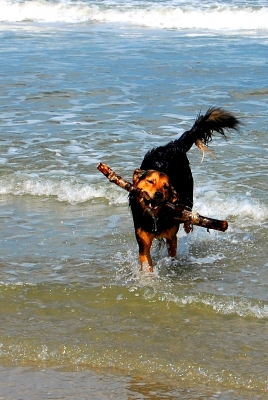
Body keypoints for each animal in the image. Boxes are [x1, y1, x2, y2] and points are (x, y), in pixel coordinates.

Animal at [129, 107, 240, 272]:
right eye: (150, 181)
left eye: (166, 186)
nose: (158, 195)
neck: (156, 217)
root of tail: (174, 145)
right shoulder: (143, 241)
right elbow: (146, 263)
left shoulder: (171, 237)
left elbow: (172, 254)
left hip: (188, 190)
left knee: (188, 211)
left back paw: (188, 223)